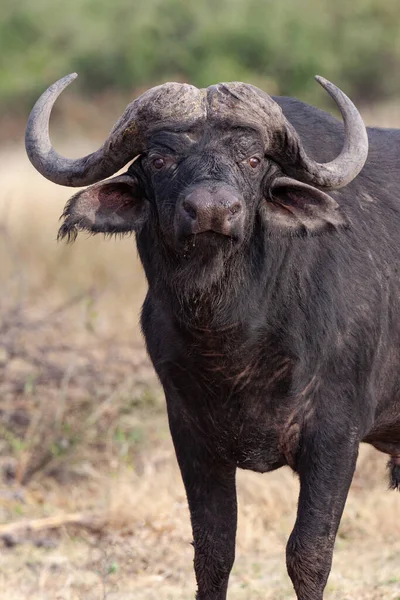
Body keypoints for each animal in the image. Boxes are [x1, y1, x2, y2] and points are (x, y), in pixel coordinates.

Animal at [26, 72, 398, 596]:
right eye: (159, 159)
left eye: (253, 159)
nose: (213, 211)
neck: (234, 339)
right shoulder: (192, 437)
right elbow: (213, 552)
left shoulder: (335, 438)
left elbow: (308, 554)